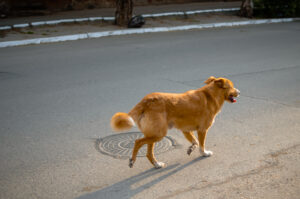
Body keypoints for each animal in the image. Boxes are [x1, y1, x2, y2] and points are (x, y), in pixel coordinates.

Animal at [110, 77, 239, 169]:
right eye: (232, 87)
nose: (240, 92)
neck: (210, 95)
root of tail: (146, 101)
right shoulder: (202, 130)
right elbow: (201, 145)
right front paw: (204, 153)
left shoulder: (186, 130)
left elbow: (195, 142)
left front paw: (191, 148)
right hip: (158, 134)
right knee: (138, 142)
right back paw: (132, 160)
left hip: (153, 134)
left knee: (148, 153)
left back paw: (157, 164)